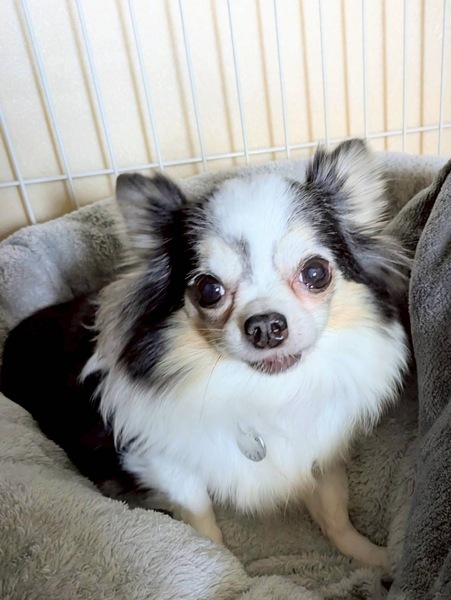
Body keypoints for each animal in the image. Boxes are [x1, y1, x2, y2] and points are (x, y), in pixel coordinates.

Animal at [1, 139, 409, 570]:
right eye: (208, 290)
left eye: (315, 273)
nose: (265, 325)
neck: (265, 394)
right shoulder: (165, 465)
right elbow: (203, 524)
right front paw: (221, 567)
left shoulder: (321, 455)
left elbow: (334, 512)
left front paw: (375, 558)